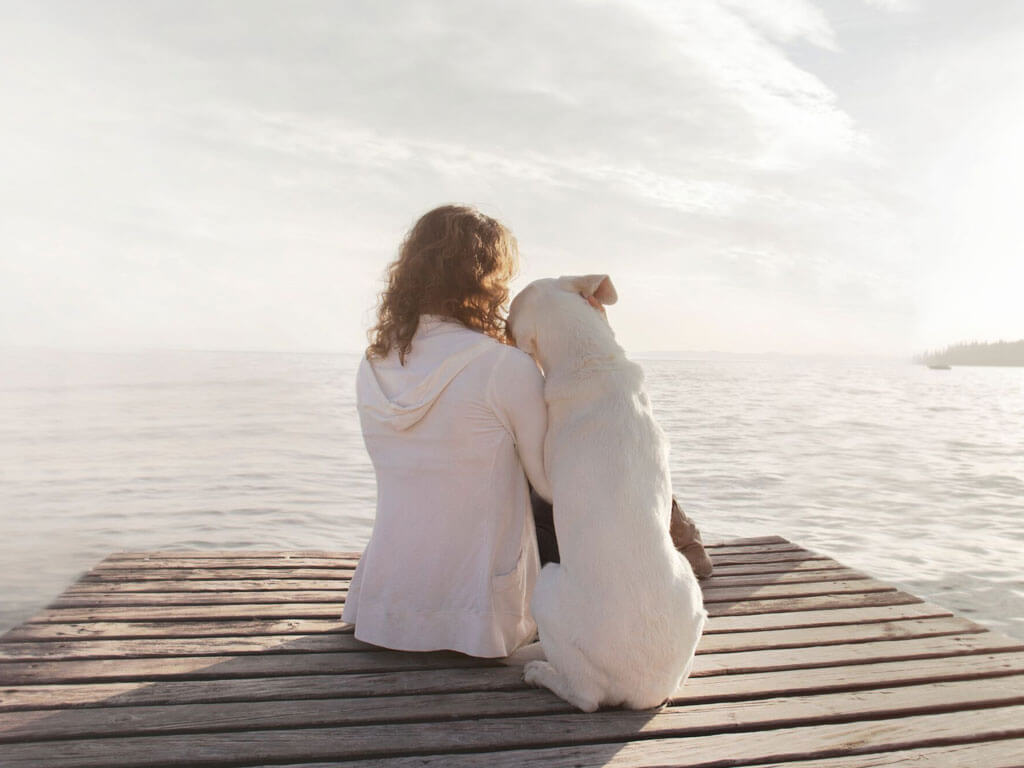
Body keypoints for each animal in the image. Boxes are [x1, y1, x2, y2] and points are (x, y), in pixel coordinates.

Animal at [507, 276, 708, 716]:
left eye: (511, 312)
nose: (500, 322)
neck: (590, 359)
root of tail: (639, 691)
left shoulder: (546, 477)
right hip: (692, 592)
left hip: (546, 586)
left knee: (585, 698)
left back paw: (542, 673)